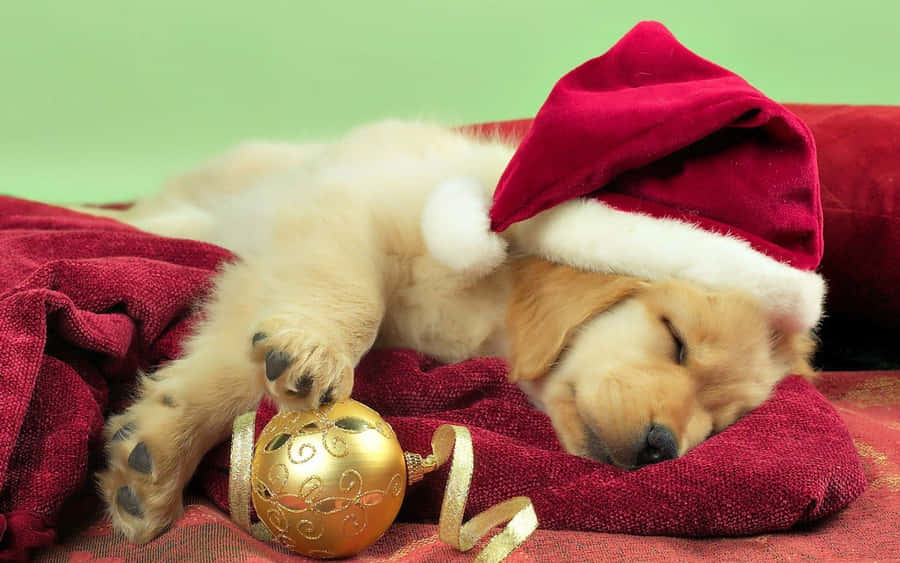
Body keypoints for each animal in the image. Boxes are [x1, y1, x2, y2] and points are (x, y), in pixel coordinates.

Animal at [82, 120, 816, 540]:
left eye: (723, 424)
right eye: (676, 339)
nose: (662, 449)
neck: (491, 310)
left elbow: (234, 359)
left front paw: (153, 452)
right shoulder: (352, 207)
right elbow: (350, 298)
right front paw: (312, 351)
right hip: (221, 192)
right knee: (160, 216)